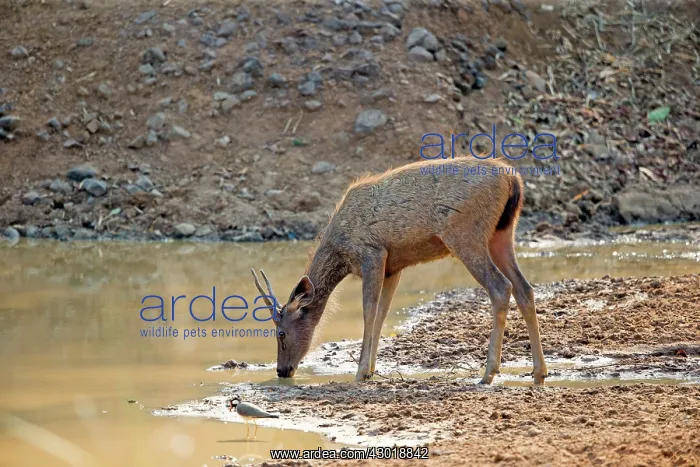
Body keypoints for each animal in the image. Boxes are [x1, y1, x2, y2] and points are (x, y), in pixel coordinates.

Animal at [251, 156, 548, 385]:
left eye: (280, 333)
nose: (282, 370)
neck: (340, 250)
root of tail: (513, 182)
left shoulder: (372, 252)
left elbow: (369, 311)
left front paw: (361, 373)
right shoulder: (394, 265)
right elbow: (383, 313)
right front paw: (371, 370)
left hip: (465, 234)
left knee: (501, 287)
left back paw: (488, 373)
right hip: (502, 233)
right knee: (524, 288)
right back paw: (539, 372)